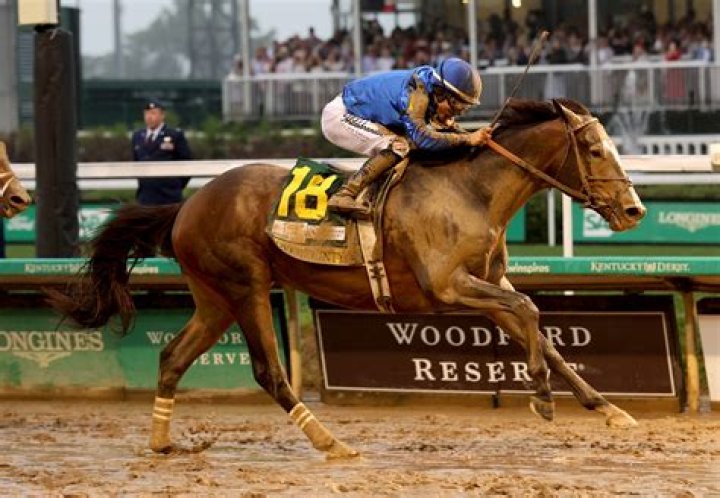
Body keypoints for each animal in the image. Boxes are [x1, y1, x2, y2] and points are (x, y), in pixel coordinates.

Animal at [49, 98, 646, 459]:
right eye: (595, 149)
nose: (634, 209)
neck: (471, 189)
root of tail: (188, 204)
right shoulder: (447, 285)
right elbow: (531, 314)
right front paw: (542, 397)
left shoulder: (488, 286)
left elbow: (541, 329)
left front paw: (609, 409)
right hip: (246, 286)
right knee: (269, 371)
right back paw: (330, 441)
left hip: (214, 297)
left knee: (172, 356)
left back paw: (160, 441)